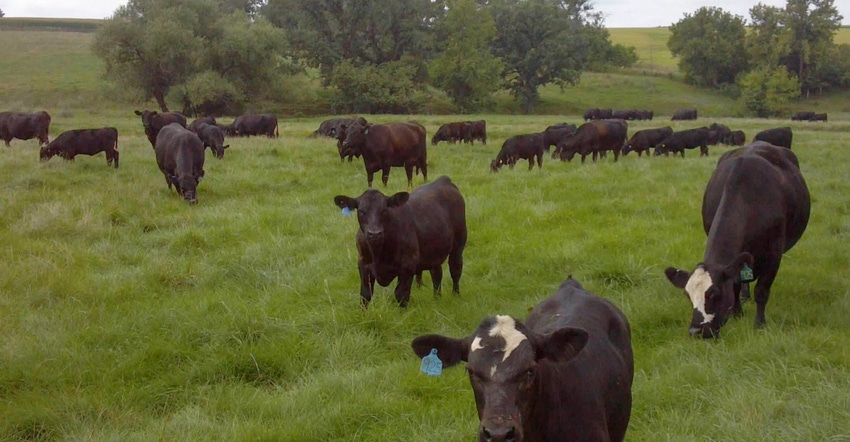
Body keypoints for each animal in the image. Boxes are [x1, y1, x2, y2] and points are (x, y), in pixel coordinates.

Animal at [332, 176, 468, 308]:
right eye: (361, 211)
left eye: (384, 210)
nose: (374, 233)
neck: (379, 253)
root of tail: (443, 180)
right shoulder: (363, 265)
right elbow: (365, 295)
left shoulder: (408, 265)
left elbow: (401, 295)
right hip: (434, 251)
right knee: (436, 273)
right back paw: (437, 298)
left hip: (459, 244)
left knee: (455, 269)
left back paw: (455, 295)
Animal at [664, 142, 808, 338]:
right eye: (688, 295)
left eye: (714, 293)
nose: (696, 331)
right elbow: (736, 284)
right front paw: (737, 313)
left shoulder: (774, 253)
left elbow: (762, 290)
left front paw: (759, 323)